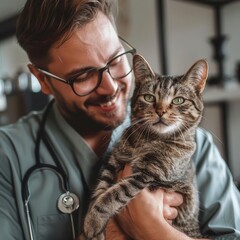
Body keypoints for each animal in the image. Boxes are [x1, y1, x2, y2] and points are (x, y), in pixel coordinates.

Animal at [82, 53, 208, 239]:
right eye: (149, 97)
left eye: (178, 100)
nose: (161, 111)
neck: (149, 140)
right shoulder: (113, 161)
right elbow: (101, 188)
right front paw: (93, 220)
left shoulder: (147, 174)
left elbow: (113, 194)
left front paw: (94, 219)